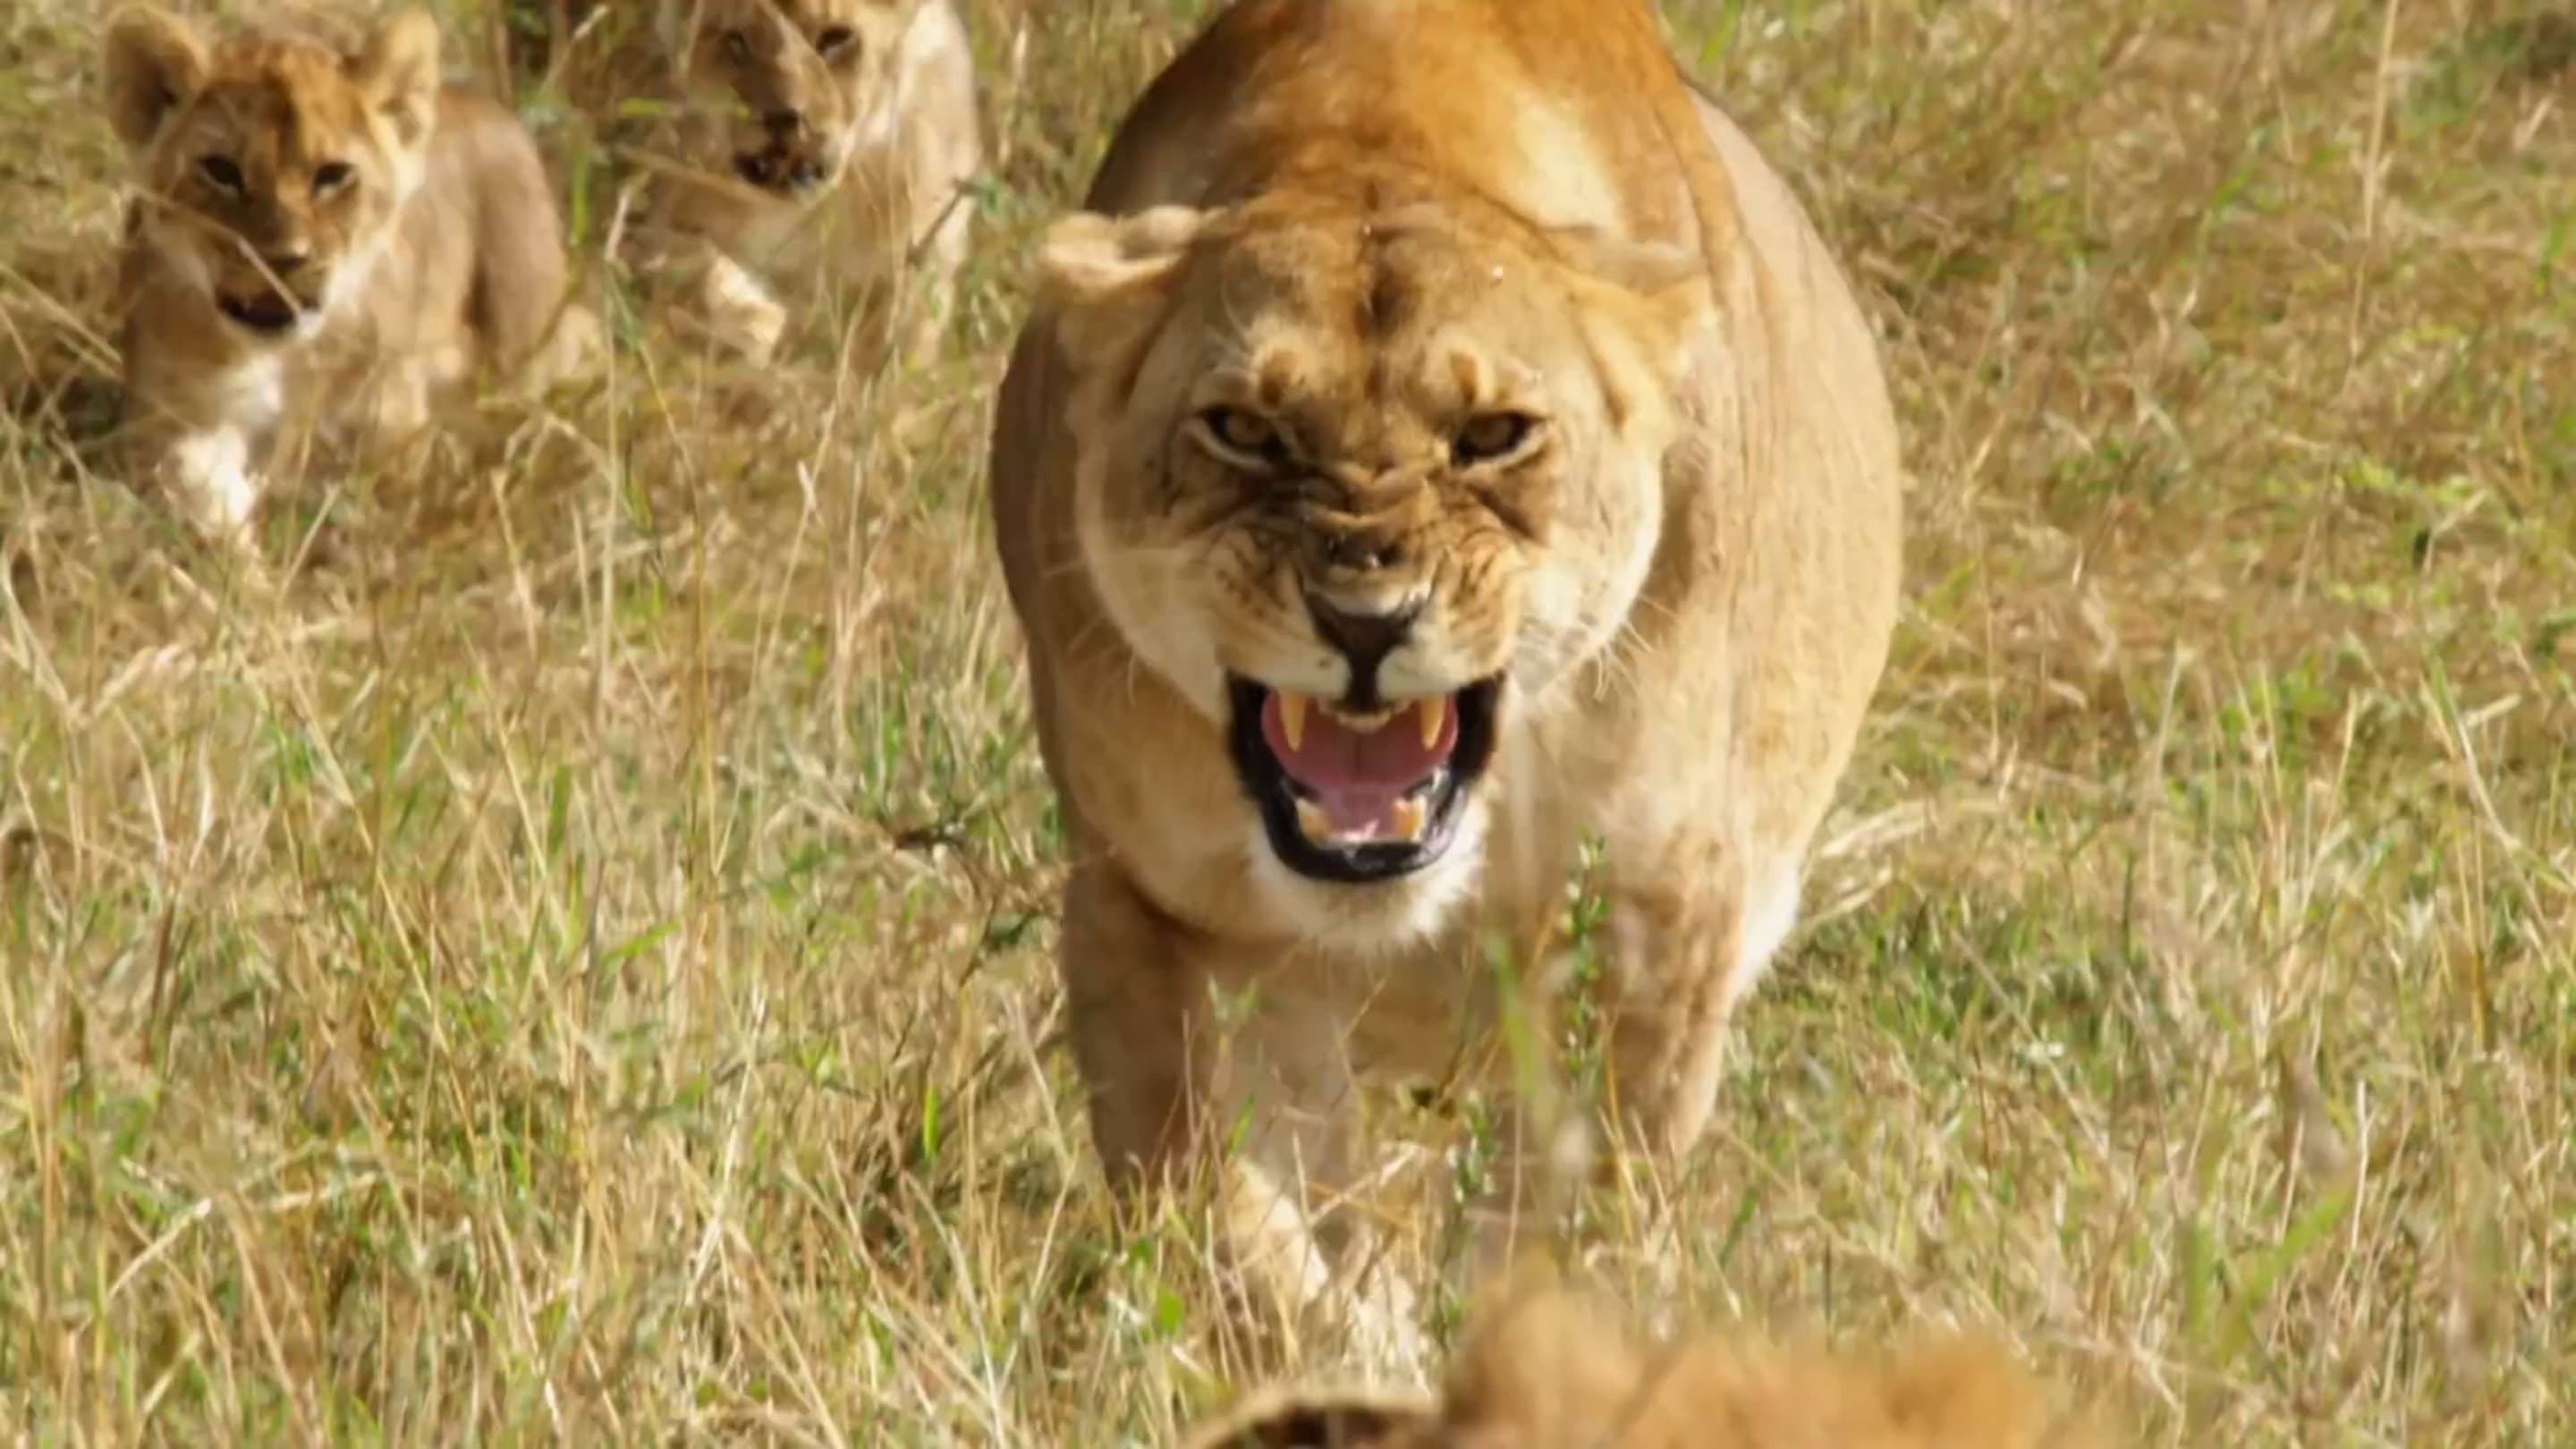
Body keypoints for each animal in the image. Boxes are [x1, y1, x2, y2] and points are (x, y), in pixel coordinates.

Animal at [102, 4, 596, 541]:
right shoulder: (174, 420)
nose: (283, 258)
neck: (284, 360)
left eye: (333, 175)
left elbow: (374, 517)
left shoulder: (388, 423)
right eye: (221, 171)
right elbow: (202, 500)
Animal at [617, 0, 983, 371]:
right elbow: (694, 267)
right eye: (737, 41)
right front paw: (754, 323)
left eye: (836, 38)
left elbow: (888, 347)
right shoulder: (650, 217)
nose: (785, 117)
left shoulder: (922, 257)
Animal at [988, 0, 1906, 1361]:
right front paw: (1361, 1355)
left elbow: (1574, 1221)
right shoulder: (1144, 907)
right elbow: (1230, 1223)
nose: (1366, 620)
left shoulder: (1658, 922)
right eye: (1244, 429)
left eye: (1494, 437)